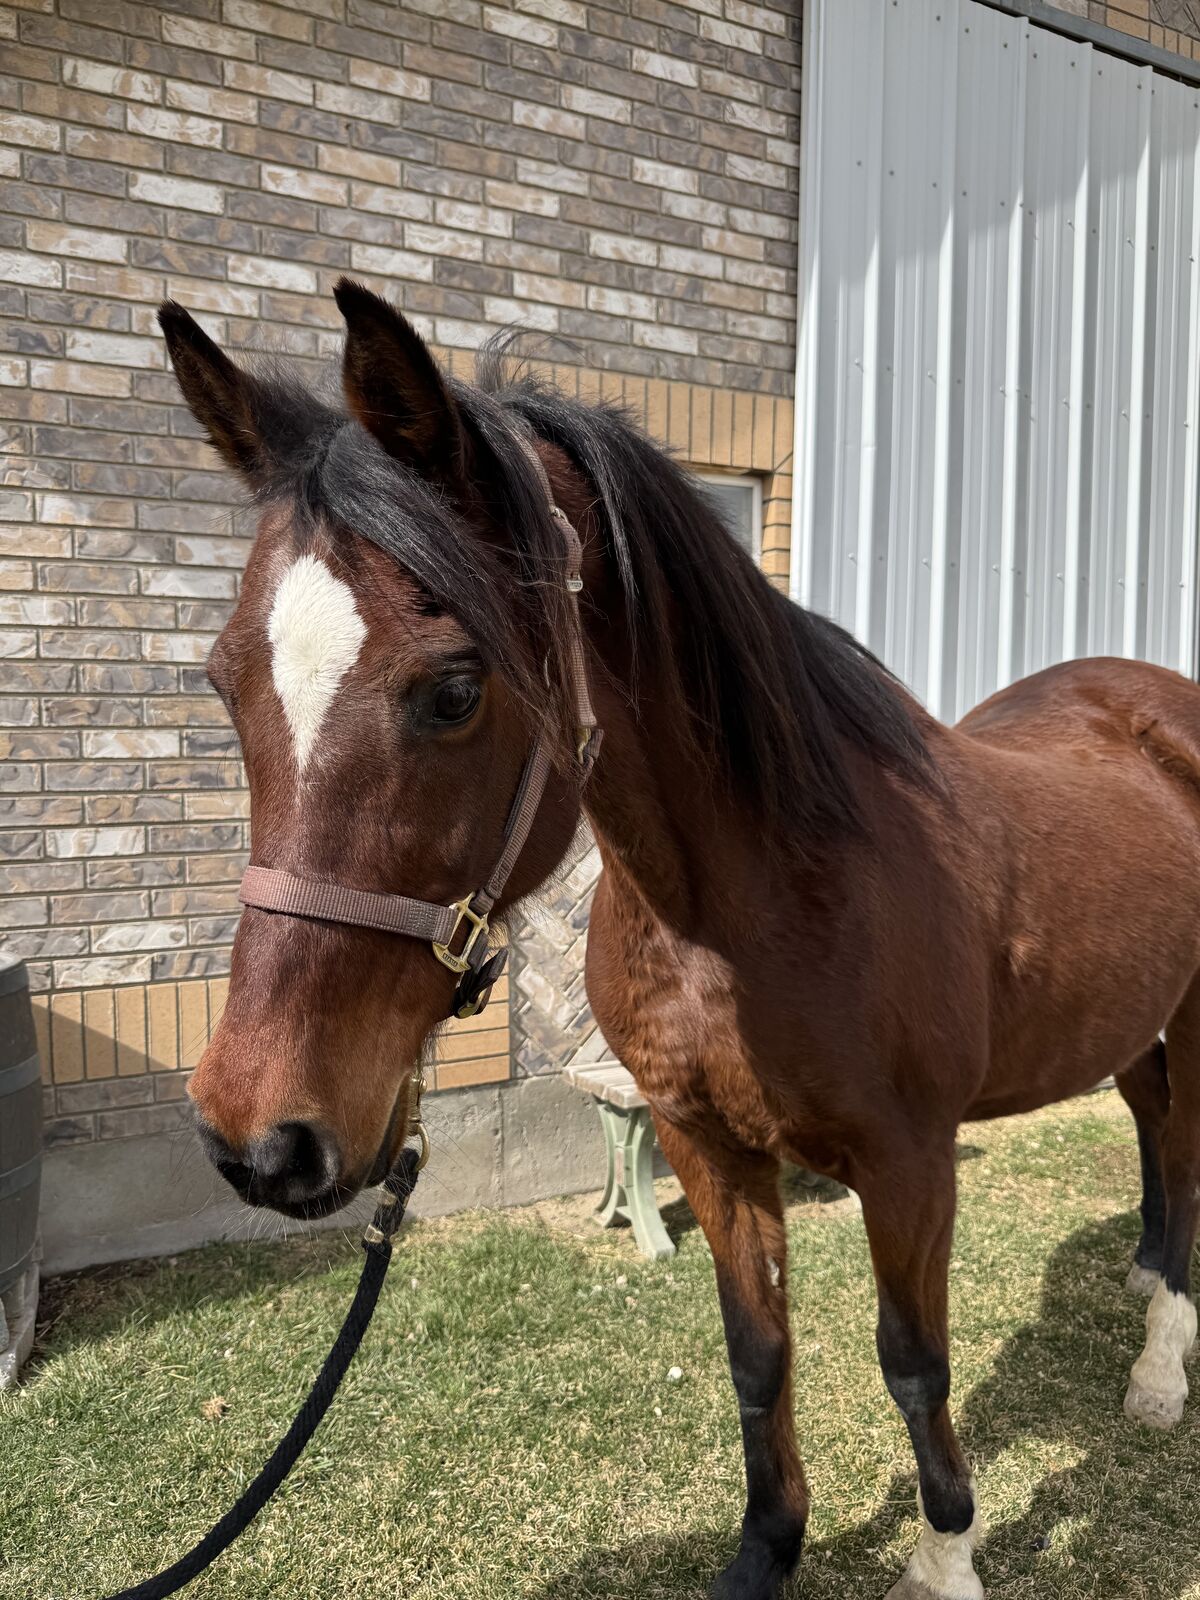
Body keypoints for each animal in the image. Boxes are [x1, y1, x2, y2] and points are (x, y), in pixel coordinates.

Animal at [159, 281, 1200, 1600]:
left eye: (454, 690)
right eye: (222, 681)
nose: (257, 1136)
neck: (755, 897)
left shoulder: (912, 1161)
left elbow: (914, 1362)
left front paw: (945, 1557)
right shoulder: (708, 1146)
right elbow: (758, 1353)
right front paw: (767, 1550)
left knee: (1189, 1158)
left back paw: (1161, 1365)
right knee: (1156, 1137)